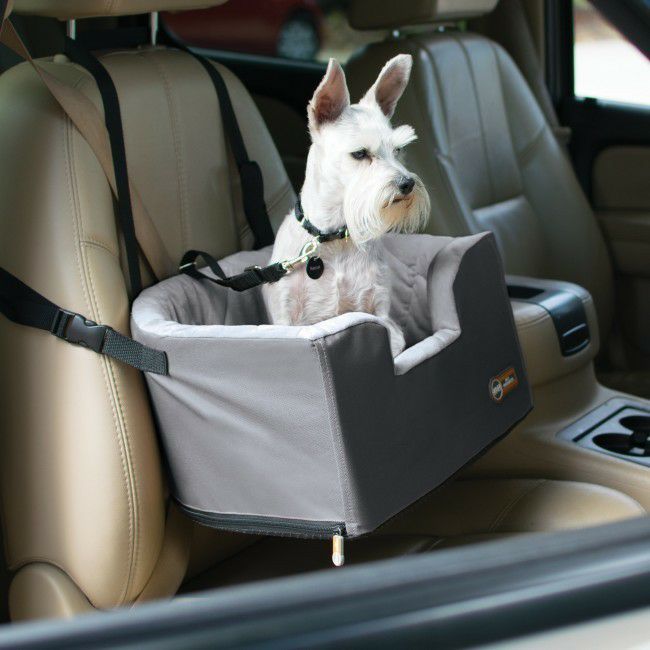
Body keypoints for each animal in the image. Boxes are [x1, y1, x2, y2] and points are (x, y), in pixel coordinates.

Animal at [263, 54, 430, 357]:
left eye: (398, 150)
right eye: (360, 154)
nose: (407, 184)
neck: (333, 237)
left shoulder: (380, 311)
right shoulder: (286, 316)